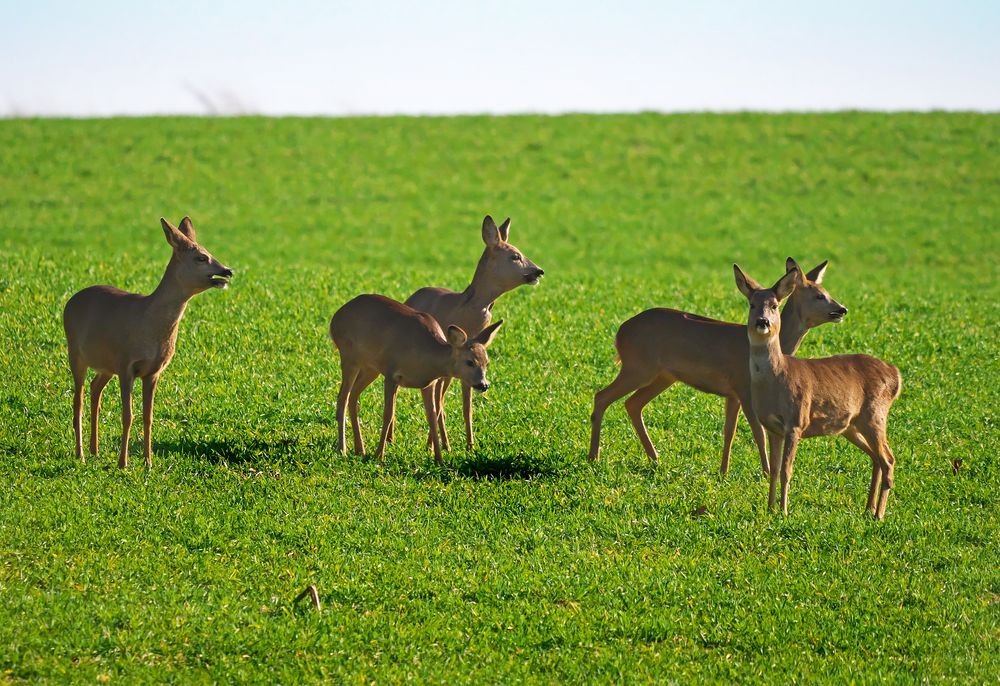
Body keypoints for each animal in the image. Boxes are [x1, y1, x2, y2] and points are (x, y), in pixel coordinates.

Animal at [62, 218, 232, 470]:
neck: (148, 322)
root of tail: (70, 301)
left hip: (106, 365)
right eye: (201, 257)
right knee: (78, 400)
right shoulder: (126, 365)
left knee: (95, 388)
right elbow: (128, 415)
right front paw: (123, 463)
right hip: (75, 351)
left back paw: (95, 450)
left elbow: (148, 416)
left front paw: (148, 462)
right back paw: (80, 454)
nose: (227, 271)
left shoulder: (153, 371)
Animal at [330, 292, 504, 464]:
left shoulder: (428, 383)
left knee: (353, 396)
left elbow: (433, 416)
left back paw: (360, 450)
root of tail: (335, 318)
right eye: (469, 362)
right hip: (349, 355)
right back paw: (342, 449)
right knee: (342, 398)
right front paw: (379, 455)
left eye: (486, 362)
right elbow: (388, 414)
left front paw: (439, 460)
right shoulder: (392, 374)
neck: (425, 354)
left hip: (370, 367)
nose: (483, 385)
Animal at [368, 214, 544, 452]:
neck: (465, 310)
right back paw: (394, 439)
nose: (539, 271)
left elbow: (466, 406)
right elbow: (439, 400)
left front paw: (469, 445)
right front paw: (437, 445)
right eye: (515, 255)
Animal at [588, 255, 848, 476]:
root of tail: (620, 333)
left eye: (774, 305)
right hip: (638, 366)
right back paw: (594, 457)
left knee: (633, 404)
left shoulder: (731, 393)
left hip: (663, 376)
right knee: (602, 396)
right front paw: (765, 472)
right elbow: (758, 432)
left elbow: (728, 432)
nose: (841, 309)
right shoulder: (744, 386)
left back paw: (655, 458)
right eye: (818, 296)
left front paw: (723, 471)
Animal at [732, 266, 904, 520]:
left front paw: (784, 511)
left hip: (876, 415)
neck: (776, 378)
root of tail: (896, 375)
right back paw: (867, 509)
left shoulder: (796, 421)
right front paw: (769, 508)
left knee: (889, 459)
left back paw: (878, 515)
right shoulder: (772, 427)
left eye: (774, 305)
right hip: (852, 425)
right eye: (752, 305)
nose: (763, 321)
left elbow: (786, 470)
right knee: (876, 458)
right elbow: (773, 469)